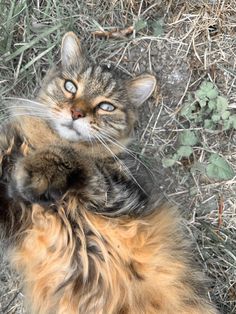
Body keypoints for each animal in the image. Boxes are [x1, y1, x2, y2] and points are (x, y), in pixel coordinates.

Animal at [0, 32, 219, 314]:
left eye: (106, 106)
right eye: (70, 87)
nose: (76, 113)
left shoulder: (119, 194)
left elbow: (73, 158)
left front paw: (36, 171)